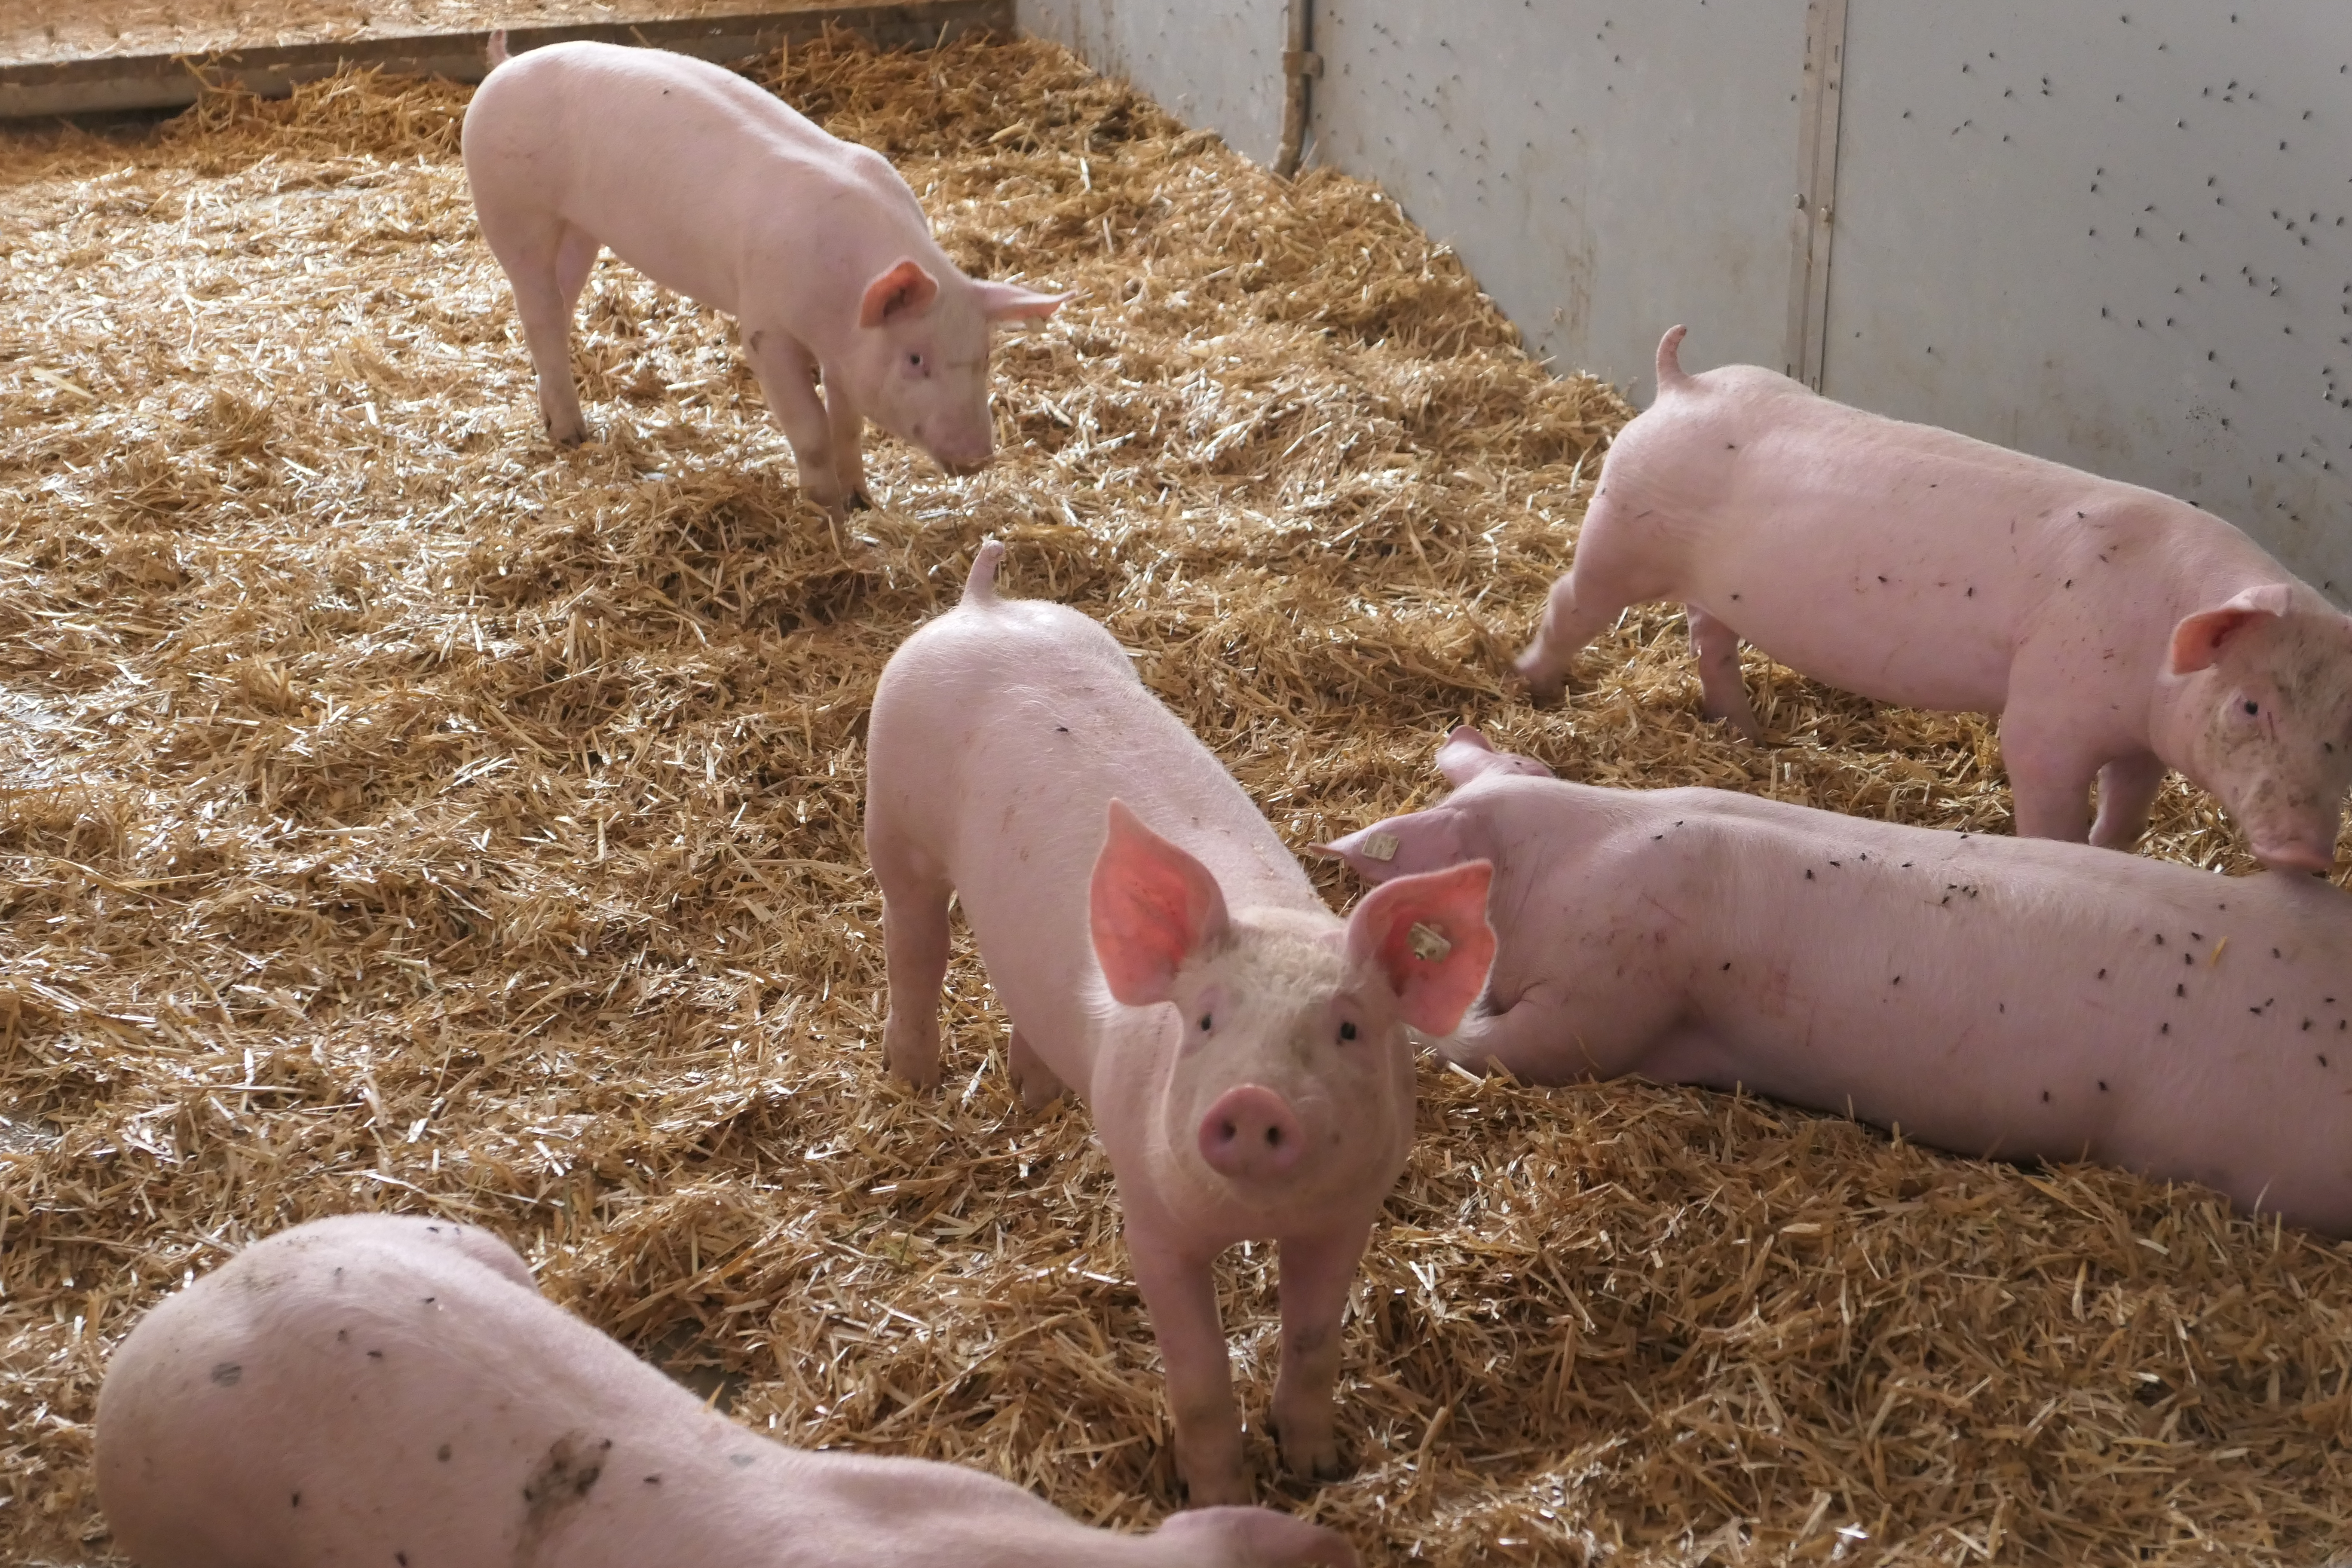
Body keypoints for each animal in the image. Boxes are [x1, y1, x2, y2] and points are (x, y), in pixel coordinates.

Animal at [461, 36, 1066, 510]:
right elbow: (812, 427)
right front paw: (825, 513)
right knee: (537, 310)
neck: (843, 302)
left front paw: (862, 502)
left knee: (560, 308)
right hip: (513, 209)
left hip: (580, 230)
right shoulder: (764, 327)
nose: (978, 455)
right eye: (916, 359)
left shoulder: (846, 352)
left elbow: (848, 423)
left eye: (983, 356)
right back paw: (572, 437)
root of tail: (505, 66)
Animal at [864, 542, 1495, 1505]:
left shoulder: (1348, 1213)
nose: (1255, 1100)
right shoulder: (1152, 1217)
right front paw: (1221, 1503)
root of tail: (980, 605)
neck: (1252, 1217)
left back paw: (1034, 1093)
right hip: (891, 816)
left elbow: (1314, 1340)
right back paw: (912, 1076)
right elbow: (1196, 1376)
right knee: (914, 942)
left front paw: (1317, 1467)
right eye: (1203, 1021)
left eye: (1349, 1029)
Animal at [1515, 326, 2352, 873]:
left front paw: (2111, 854)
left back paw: (1748, 733)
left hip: (1713, 587)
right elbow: (2046, 798)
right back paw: (1534, 685)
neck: (2157, 643)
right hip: (1619, 536)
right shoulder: (2046, 717)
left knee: (1707, 634)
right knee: (1568, 603)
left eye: (2347, 724)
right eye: (2250, 705)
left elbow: (2125, 812)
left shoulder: (2141, 739)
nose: (2306, 854)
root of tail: (1679, 383)